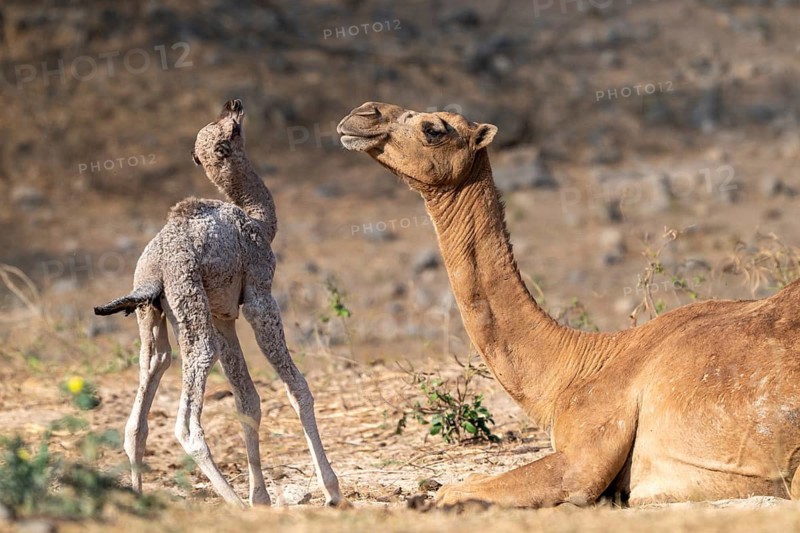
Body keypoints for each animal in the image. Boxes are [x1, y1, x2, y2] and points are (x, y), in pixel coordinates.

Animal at [94, 100, 342, 508]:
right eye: (234, 130)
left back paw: (140, 495)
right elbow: (297, 388)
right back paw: (234, 503)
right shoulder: (259, 294)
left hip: (156, 313)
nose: (234, 105)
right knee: (188, 422)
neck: (259, 221)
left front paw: (261, 498)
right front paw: (331, 491)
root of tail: (154, 271)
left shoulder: (223, 313)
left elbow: (248, 402)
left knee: (146, 390)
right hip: (192, 308)